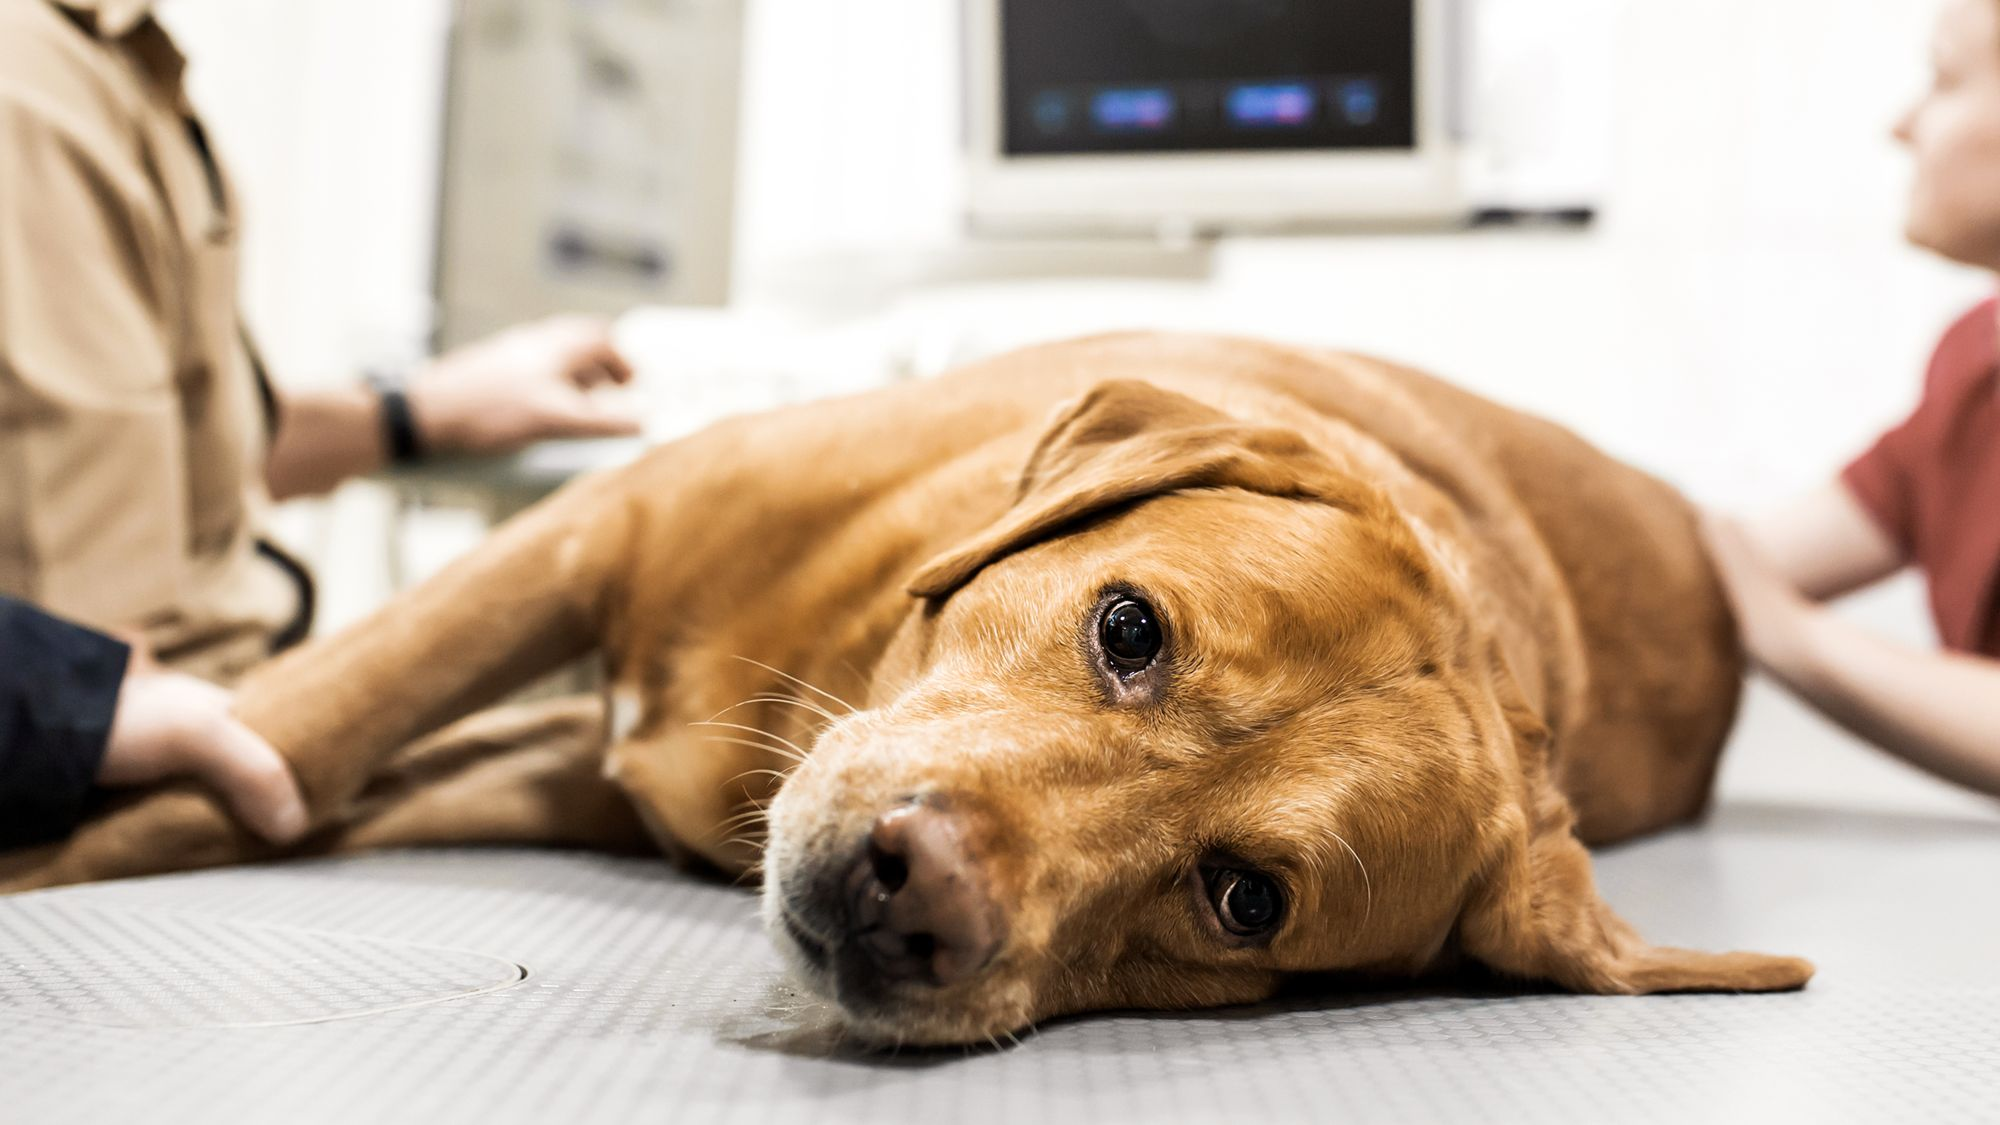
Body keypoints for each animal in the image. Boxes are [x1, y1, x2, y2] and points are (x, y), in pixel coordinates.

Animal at [0, 332, 1816, 1040]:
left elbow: (271, 792)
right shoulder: (587, 534)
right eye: (1129, 630)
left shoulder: (561, 768)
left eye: (1245, 901)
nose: (910, 895)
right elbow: (286, 743)